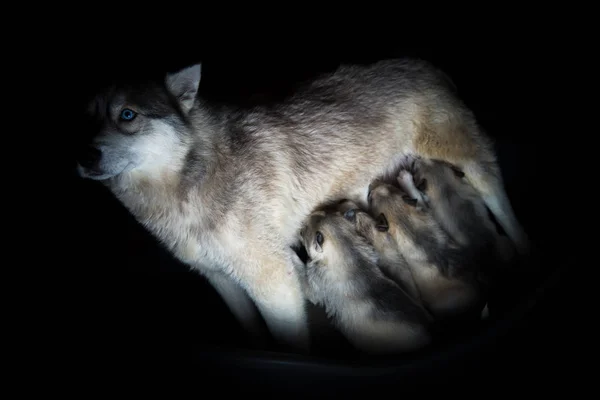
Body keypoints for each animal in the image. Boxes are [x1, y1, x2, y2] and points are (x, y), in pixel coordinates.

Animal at [296, 209, 432, 354]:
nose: (302, 223)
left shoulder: (315, 286)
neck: (350, 253)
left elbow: (301, 270)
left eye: (303, 231)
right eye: (321, 212)